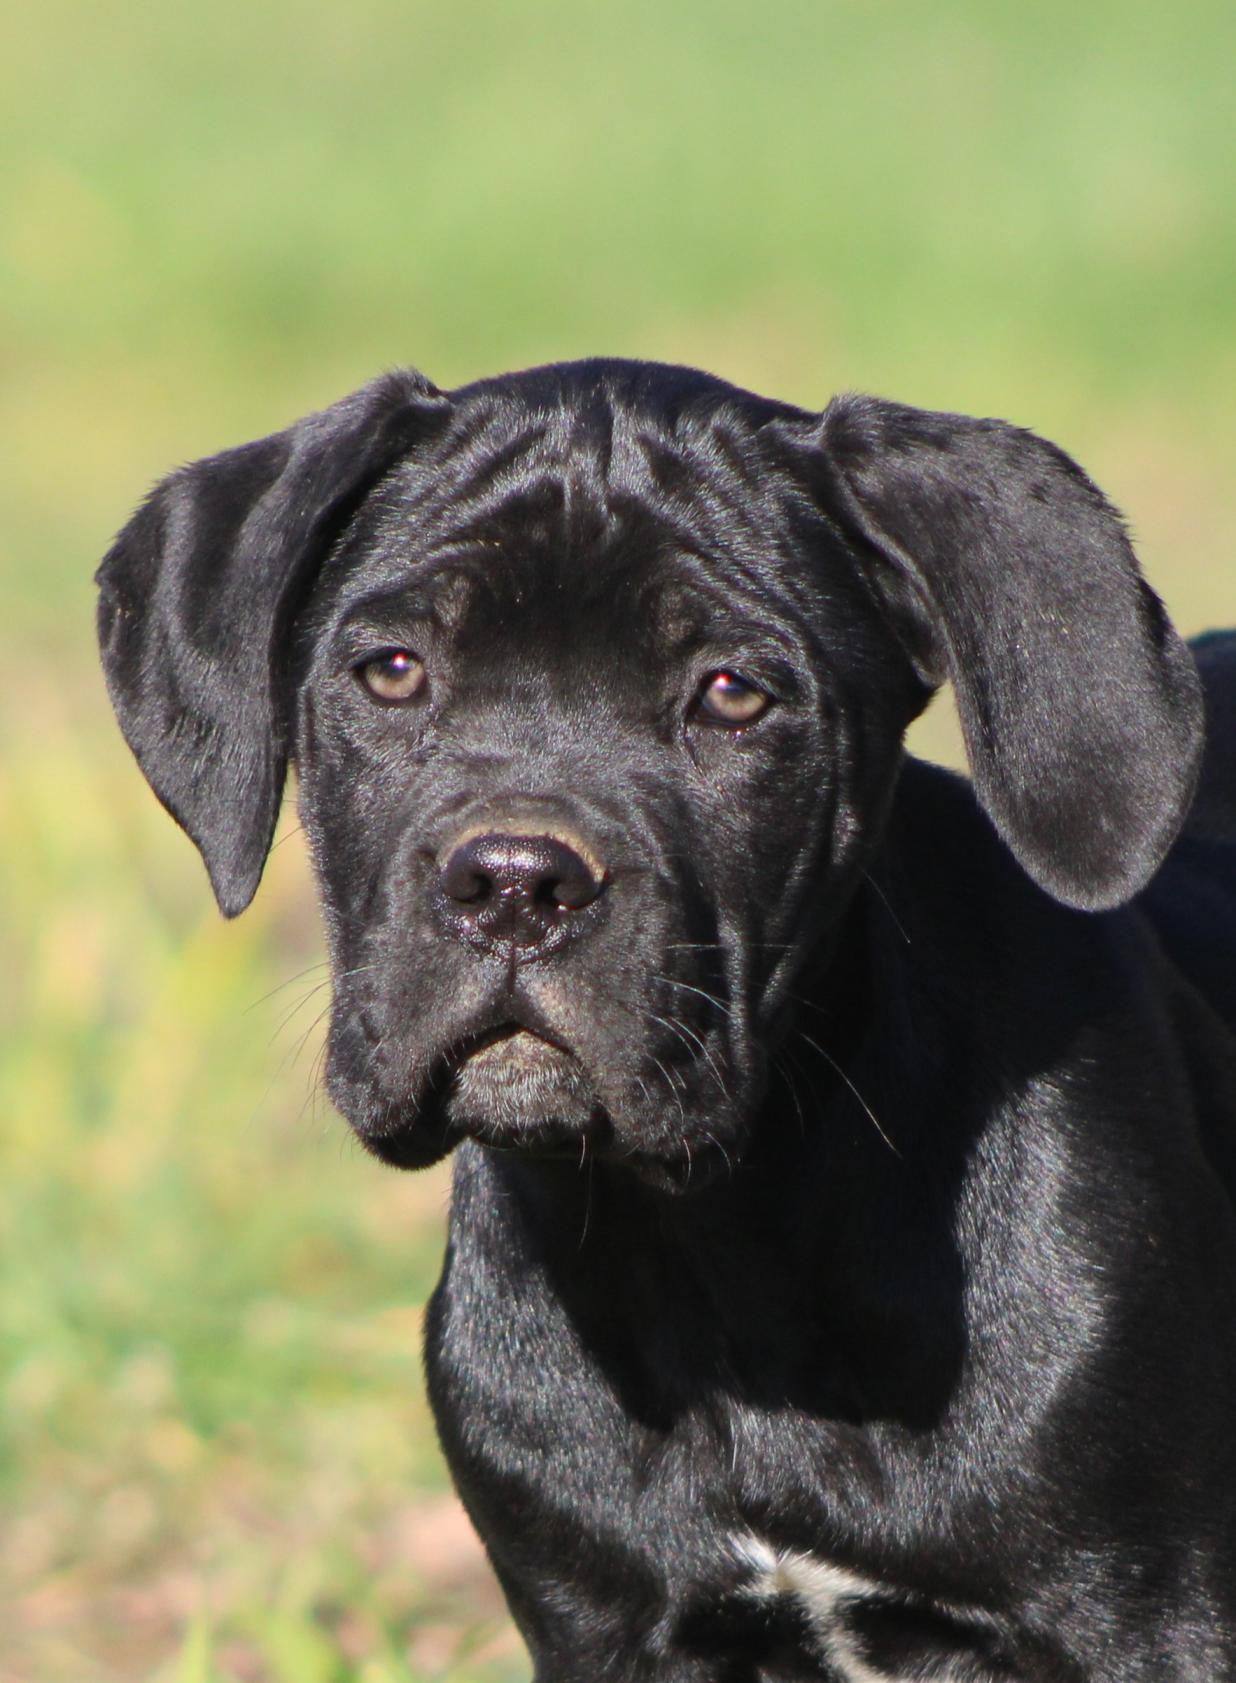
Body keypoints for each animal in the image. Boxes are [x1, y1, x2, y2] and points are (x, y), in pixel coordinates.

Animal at [99, 361, 1236, 1676]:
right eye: (390, 669)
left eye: (734, 694)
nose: (516, 883)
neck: (719, 1251)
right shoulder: (605, 1625)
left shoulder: (1146, 1617)